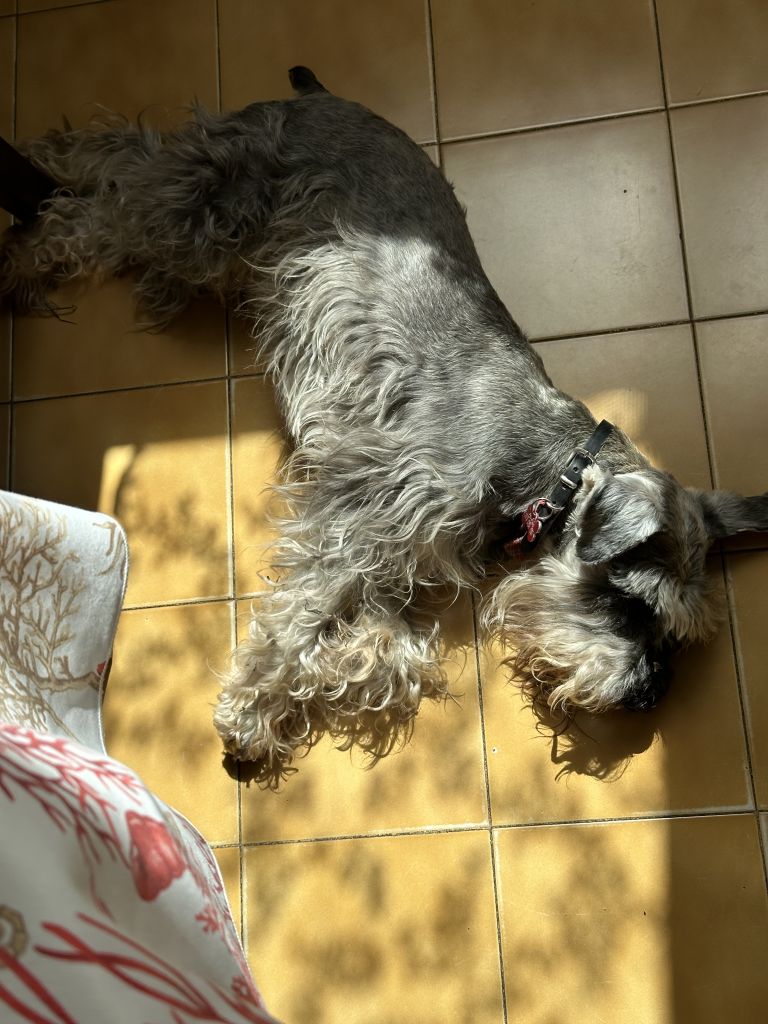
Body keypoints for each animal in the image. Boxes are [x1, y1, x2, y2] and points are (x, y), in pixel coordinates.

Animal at [2, 67, 767, 786]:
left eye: (680, 633)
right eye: (634, 605)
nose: (647, 695)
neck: (548, 469)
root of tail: (321, 97)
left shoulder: (397, 556)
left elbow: (400, 653)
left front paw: (340, 667)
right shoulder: (353, 524)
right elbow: (298, 618)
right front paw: (252, 712)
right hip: (209, 212)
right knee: (118, 181)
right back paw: (33, 244)